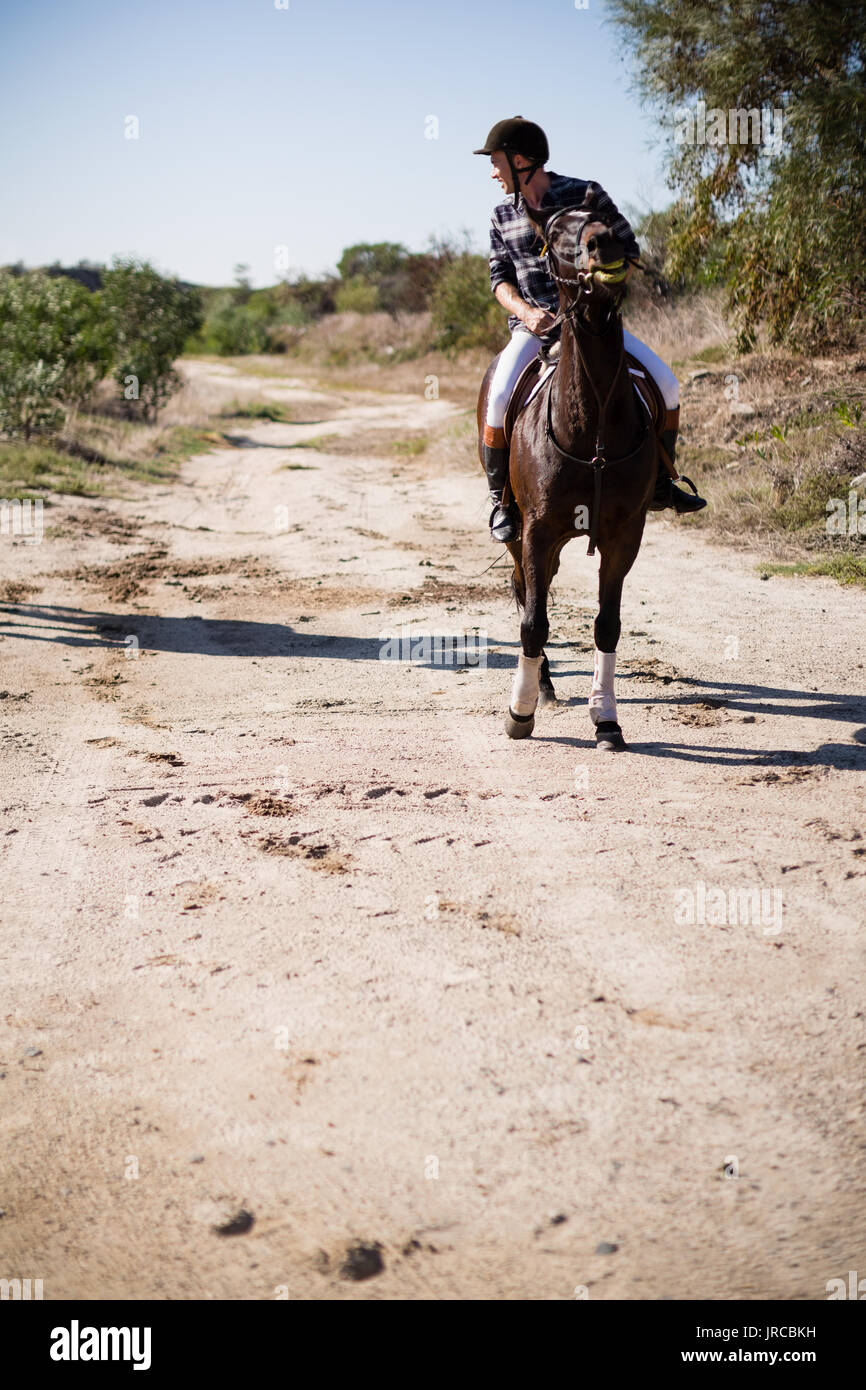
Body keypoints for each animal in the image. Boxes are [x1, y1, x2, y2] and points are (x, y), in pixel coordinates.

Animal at [476, 199, 657, 751]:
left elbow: (608, 625)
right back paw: (543, 686)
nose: (606, 244)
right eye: (555, 234)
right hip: (520, 532)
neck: (590, 424)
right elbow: (534, 622)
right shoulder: (537, 530)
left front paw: (607, 720)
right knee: (523, 593)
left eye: (612, 217)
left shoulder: (624, 535)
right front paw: (519, 713)